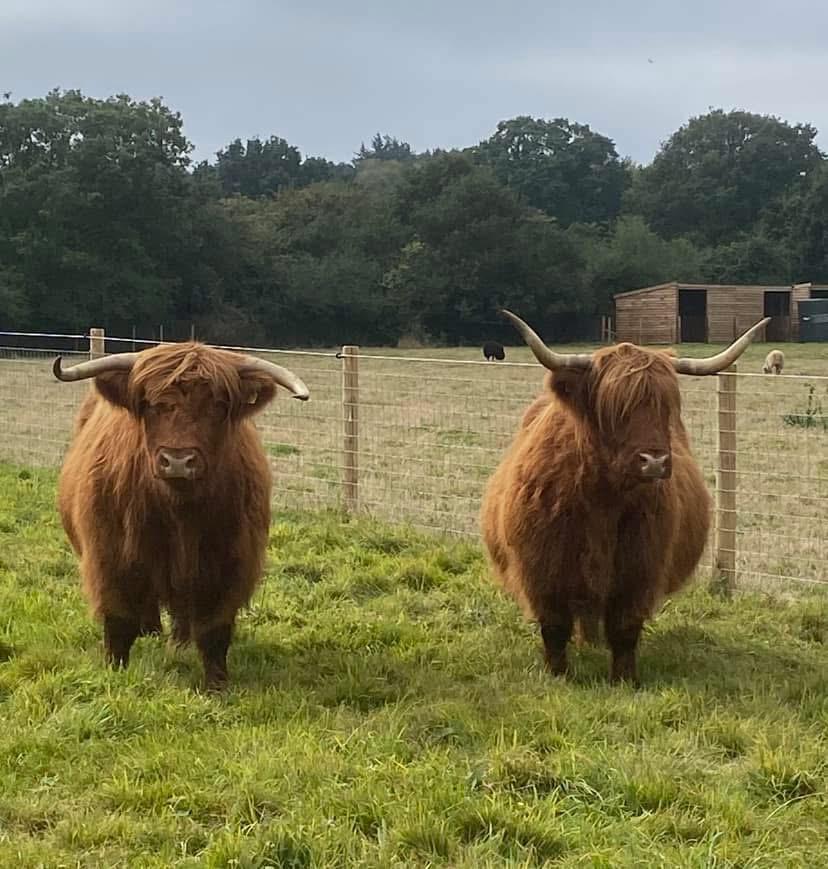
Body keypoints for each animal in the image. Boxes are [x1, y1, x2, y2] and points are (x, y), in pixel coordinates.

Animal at [53, 342, 310, 690]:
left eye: (218, 405)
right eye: (150, 404)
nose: (177, 461)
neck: (179, 514)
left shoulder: (227, 564)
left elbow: (214, 631)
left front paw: (217, 685)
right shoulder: (110, 558)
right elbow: (119, 622)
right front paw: (114, 672)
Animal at [480, 310, 769, 684]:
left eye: (666, 407)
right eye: (615, 407)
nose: (655, 461)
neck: (603, 500)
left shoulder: (640, 571)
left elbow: (624, 628)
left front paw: (624, 679)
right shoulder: (542, 570)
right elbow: (555, 628)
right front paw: (558, 675)